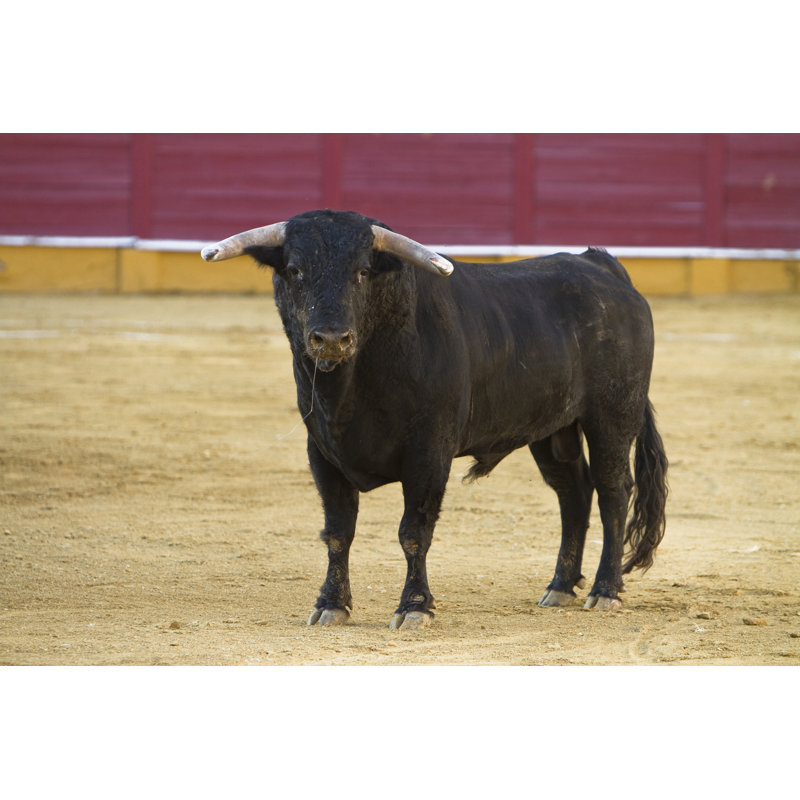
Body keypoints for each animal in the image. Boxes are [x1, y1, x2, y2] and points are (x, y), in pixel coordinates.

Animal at [201, 209, 668, 629]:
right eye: (295, 270)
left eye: (363, 271)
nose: (331, 340)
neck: (352, 387)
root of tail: (602, 267)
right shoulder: (322, 452)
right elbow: (337, 532)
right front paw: (331, 604)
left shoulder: (428, 453)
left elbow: (414, 531)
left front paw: (415, 607)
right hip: (553, 430)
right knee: (573, 493)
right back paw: (560, 586)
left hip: (612, 415)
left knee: (613, 491)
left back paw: (605, 590)